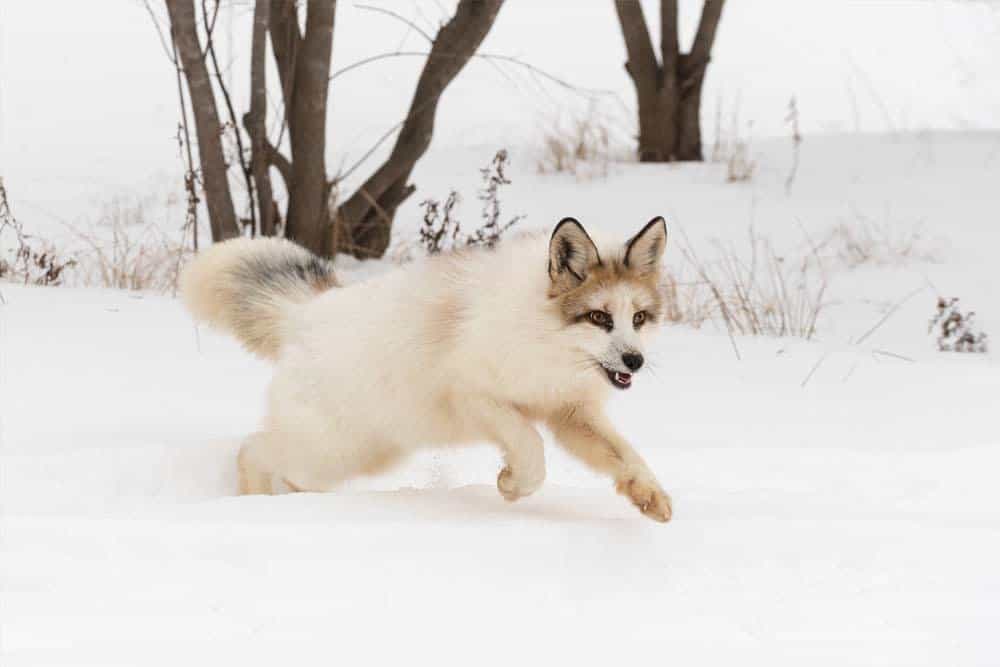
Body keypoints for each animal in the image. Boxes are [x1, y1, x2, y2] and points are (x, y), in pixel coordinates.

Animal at [184, 218, 676, 520]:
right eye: (599, 317)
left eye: (638, 318)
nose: (635, 361)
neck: (546, 341)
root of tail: (307, 310)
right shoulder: (474, 395)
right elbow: (530, 449)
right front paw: (512, 485)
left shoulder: (571, 413)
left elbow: (626, 456)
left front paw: (649, 495)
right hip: (329, 450)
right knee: (252, 449)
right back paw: (250, 502)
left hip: (361, 455)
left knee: (279, 464)